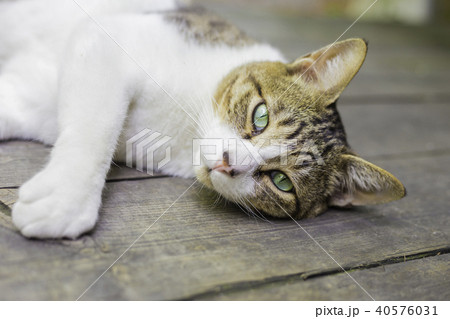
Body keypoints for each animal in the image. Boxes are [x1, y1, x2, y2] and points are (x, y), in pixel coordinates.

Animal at [0, 0, 406, 239]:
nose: (228, 163)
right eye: (260, 116)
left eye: (281, 181)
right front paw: (66, 197)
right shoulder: (107, 41)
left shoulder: (30, 100)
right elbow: (96, 128)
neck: (186, 127)